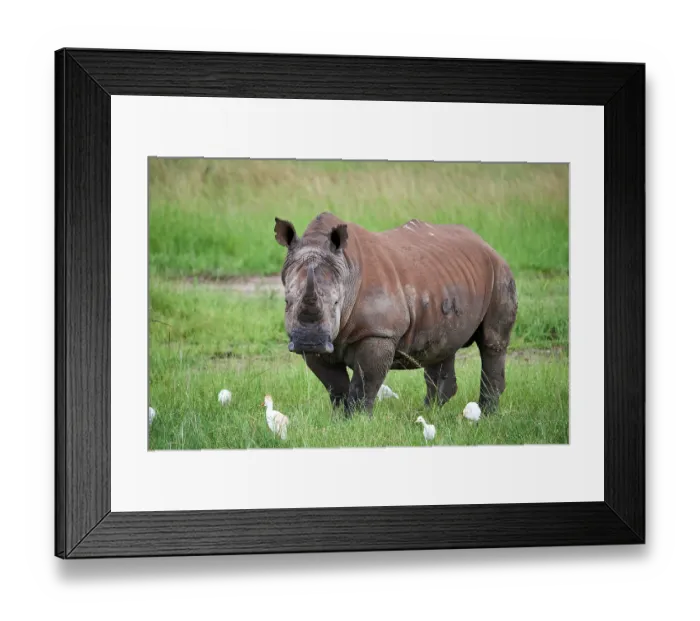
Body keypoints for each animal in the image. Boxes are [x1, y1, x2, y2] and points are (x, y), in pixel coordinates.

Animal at [273, 212, 518, 417]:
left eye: (335, 303)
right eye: (287, 302)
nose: (309, 341)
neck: (346, 272)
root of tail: (485, 243)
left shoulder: (379, 332)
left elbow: (364, 384)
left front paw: (356, 421)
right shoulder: (319, 342)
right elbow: (336, 385)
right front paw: (339, 420)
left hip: (499, 270)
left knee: (492, 343)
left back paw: (487, 415)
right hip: (442, 280)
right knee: (442, 344)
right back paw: (427, 413)